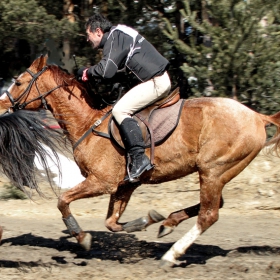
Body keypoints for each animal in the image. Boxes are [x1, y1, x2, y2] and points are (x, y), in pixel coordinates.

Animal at [1, 54, 278, 266]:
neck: (88, 123)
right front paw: (145, 221)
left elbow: (63, 201)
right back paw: (167, 223)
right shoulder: (124, 185)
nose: (2, 103)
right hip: (216, 173)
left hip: (213, 171)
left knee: (209, 214)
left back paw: (172, 253)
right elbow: (111, 222)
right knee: (214, 205)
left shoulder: (102, 182)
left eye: (18, 82)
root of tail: (257, 116)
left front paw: (83, 238)